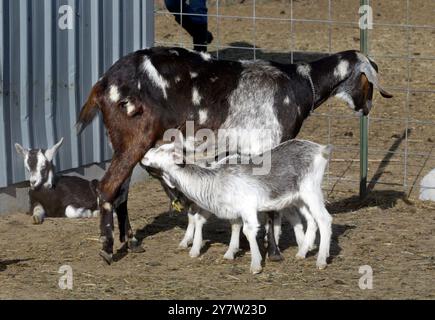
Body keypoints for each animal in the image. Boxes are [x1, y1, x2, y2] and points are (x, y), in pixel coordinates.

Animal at [143, 139, 334, 274]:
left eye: (162, 150)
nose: (146, 154)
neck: (215, 181)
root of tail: (321, 149)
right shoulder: (233, 210)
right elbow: (235, 226)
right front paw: (230, 253)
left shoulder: (247, 207)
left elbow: (248, 231)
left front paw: (255, 265)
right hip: (300, 197)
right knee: (311, 220)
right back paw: (303, 252)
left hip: (311, 189)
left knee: (324, 219)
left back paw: (321, 261)